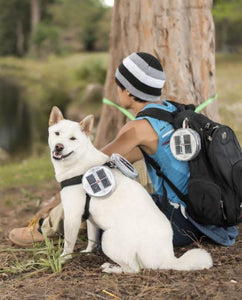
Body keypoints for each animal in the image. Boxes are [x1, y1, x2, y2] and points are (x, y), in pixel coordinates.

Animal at [48, 106, 213, 274]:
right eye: (57, 133)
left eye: (73, 139)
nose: (59, 147)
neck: (79, 163)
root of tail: (166, 256)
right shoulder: (89, 219)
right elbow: (92, 239)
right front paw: (88, 251)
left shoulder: (72, 217)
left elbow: (68, 244)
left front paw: (63, 259)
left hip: (108, 239)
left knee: (133, 269)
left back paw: (112, 268)